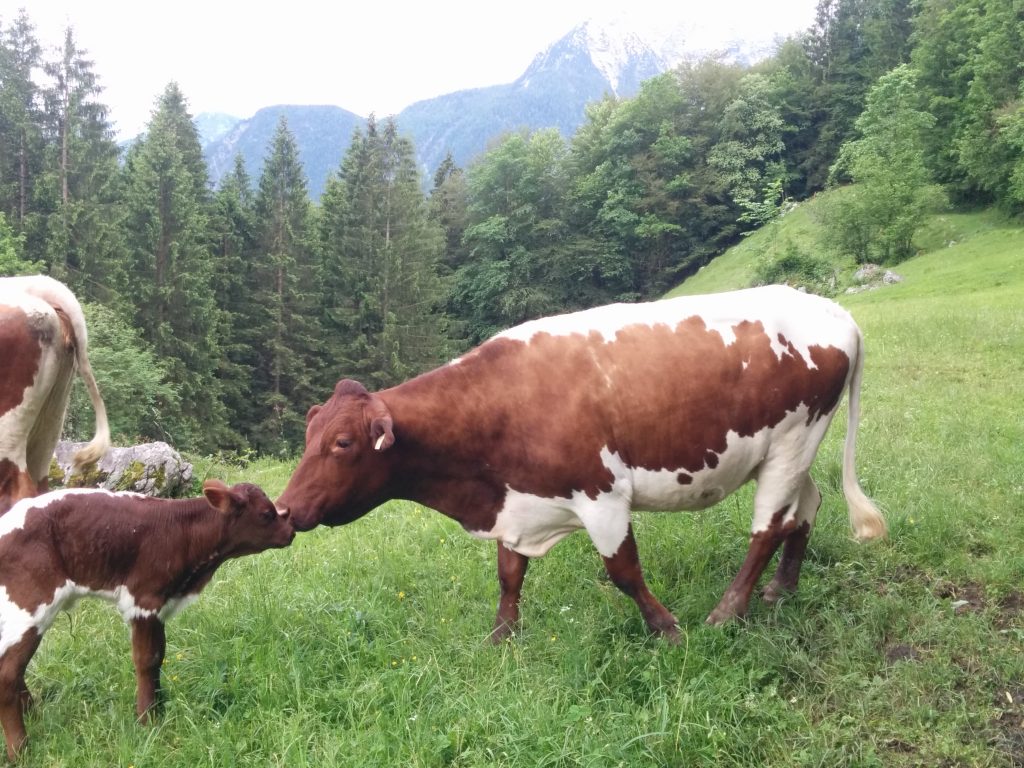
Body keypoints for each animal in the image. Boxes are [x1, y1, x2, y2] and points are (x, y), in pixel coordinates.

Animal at [0, 481, 294, 757]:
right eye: (266, 514)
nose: (291, 532)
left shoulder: (161, 604)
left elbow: (160, 655)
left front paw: (159, 705)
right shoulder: (144, 600)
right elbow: (147, 659)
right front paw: (147, 719)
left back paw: (33, 714)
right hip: (29, 606)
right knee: (7, 674)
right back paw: (21, 750)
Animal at [278, 286, 888, 638]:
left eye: (342, 443)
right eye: (308, 433)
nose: (284, 508)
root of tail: (834, 309)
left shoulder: (602, 495)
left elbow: (623, 572)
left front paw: (666, 629)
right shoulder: (517, 500)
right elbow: (509, 574)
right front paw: (502, 636)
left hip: (793, 439)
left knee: (767, 527)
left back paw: (727, 613)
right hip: (791, 448)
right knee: (805, 507)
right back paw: (781, 589)